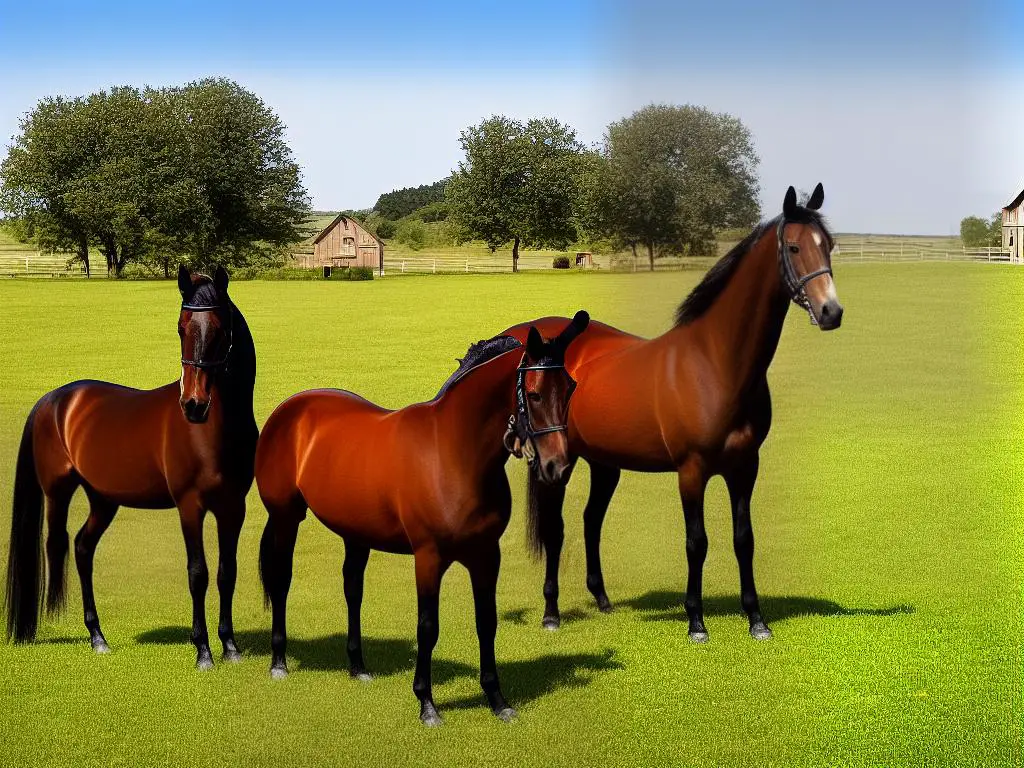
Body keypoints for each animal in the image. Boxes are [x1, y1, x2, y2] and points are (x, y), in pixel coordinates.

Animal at [4, 264, 258, 667]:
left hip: (103, 500)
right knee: (56, 543)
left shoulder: (234, 506)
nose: (193, 404)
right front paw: (203, 651)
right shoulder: (190, 505)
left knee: (82, 547)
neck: (217, 427)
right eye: (181, 327)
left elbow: (226, 572)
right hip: (57, 492)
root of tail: (53, 398)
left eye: (220, 329)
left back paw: (98, 637)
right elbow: (198, 573)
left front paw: (230, 646)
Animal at [256, 309, 593, 724]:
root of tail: (290, 409)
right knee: (281, 580)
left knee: (353, 588)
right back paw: (279, 663)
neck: (454, 452)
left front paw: (497, 700)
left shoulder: (487, 555)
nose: (556, 467)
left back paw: (358, 667)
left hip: (356, 533)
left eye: (571, 387)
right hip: (286, 517)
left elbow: (487, 621)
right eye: (533, 394)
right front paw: (427, 704)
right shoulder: (429, 558)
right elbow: (428, 627)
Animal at [499, 185, 843, 643]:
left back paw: (603, 599)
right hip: (558, 462)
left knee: (592, 520)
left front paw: (756, 620)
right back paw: (551, 613)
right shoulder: (691, 470)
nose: (831, 312)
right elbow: (697, 542)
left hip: (604, 462)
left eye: (829, 245)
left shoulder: (745, 466)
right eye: (793, 247)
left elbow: (744, 539)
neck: (715, 363)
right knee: (556, 531)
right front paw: (696, 621)